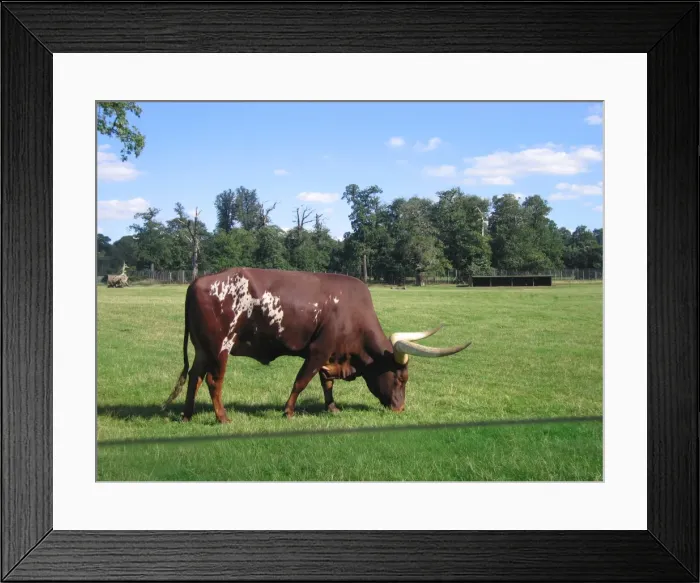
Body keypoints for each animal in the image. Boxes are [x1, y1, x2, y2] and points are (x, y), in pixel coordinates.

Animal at [162, 267, 471, 423]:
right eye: (399, 378)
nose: (400, 408)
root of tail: (197, 281)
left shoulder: (331, 354)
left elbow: (326, 382)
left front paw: (332, 408)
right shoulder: (318, 350)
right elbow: (302, 380)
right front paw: (288, 411)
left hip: (203, 349)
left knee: (195, 377)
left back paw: (187, 415)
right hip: (220, 347)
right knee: (213, 380)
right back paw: (223, 417)